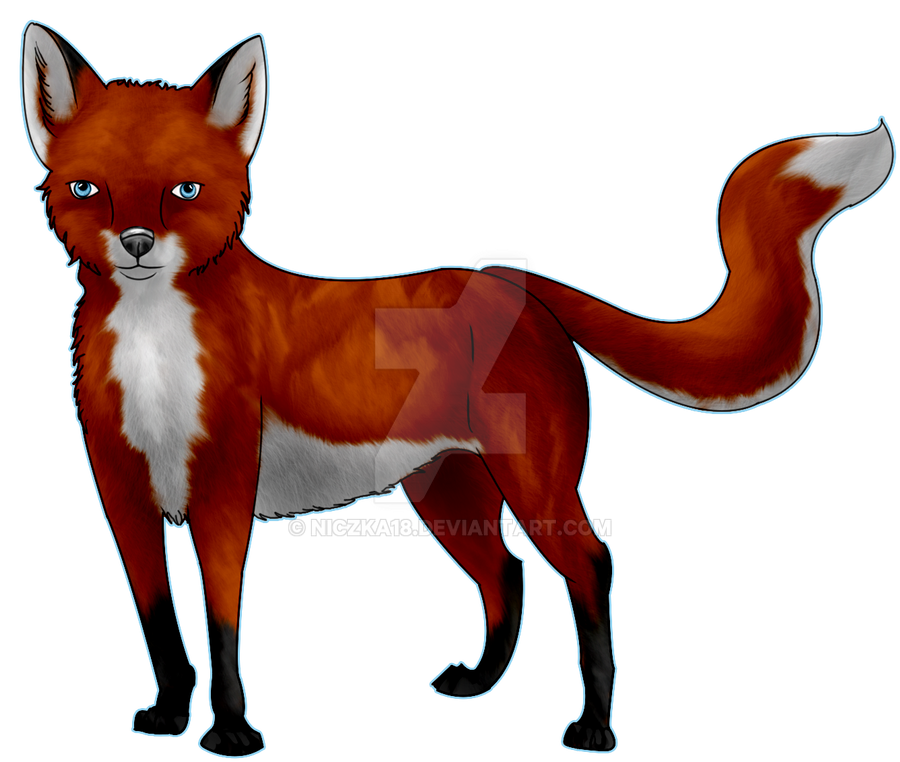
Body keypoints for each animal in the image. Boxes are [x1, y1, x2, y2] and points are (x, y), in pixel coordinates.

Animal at [19, 19, 895, 758]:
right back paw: (480, 686)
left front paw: (231, 734)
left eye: (186, 191)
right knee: (506, 572)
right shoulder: (123, 496)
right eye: (89, 188)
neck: (155, 355)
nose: (137, 244)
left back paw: (595, 728)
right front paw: (170, 717)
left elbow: (224, 624)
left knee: (588, 565)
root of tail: (514, 281)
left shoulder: (224, 492)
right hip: (446, 491)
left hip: (531, 483)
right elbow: (158, 624)